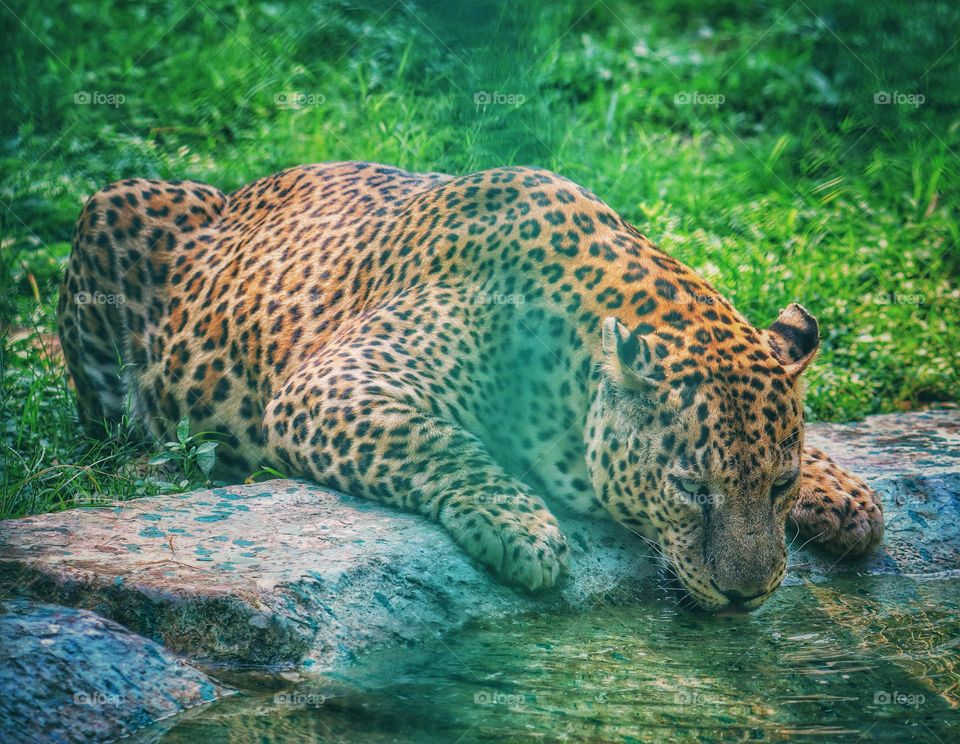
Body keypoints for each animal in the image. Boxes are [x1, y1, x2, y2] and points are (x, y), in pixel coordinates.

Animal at [57, 161, 884, 611]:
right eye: (689, 488)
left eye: (778, 485)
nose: (749, 595)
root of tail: (237, 192)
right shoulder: (334, 381)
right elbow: (436, 439)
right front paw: (523, 529)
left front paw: (846, 494)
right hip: (113, 211)